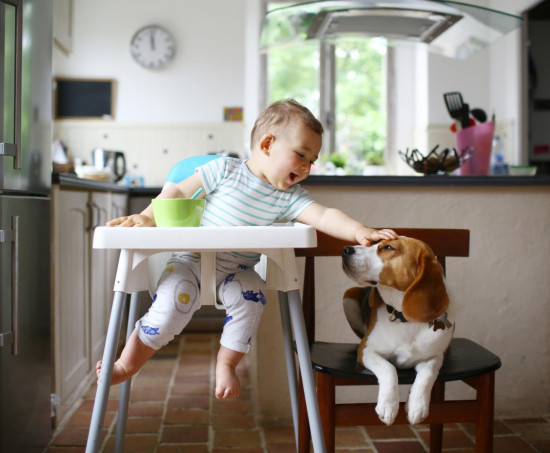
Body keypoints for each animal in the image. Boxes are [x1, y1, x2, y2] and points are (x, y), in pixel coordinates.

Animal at [342, 235, 454, 426]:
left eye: (388, 247)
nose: (345, 250)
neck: (405, 320)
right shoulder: (366, 350)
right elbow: (388, 368)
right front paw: (388, 405)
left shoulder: (436, 357)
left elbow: (427, 374)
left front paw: (418, 405)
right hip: (348, 296)